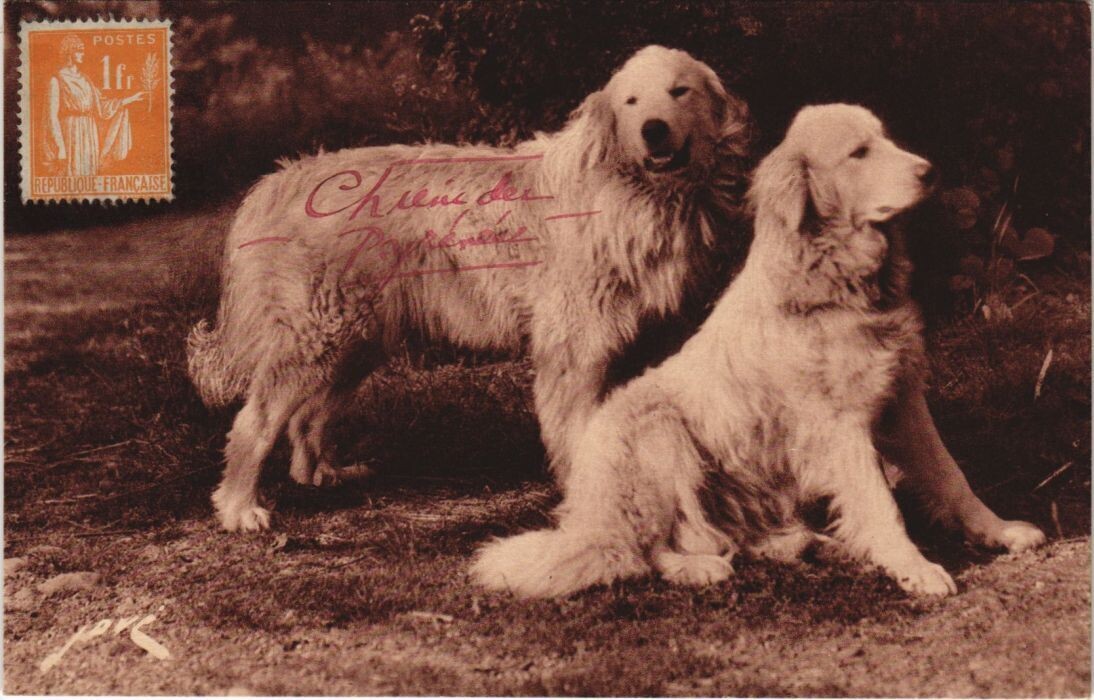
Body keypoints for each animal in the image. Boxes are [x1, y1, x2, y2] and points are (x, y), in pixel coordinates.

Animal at [187, 45, 752, 531]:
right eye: (631, 101)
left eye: (679, 91)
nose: (653, 131)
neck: (633, 190)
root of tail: (278, 180)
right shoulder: (575, 350)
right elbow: (579, 433)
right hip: (321, 336)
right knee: (255, 421)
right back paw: (239, 508)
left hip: (356, 340)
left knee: (308, 415)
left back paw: (322, 473)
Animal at [471, 104, 1045, 598]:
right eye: (859, 152)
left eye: (885, 139)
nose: (930, 172)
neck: (839, 281)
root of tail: (588, 516)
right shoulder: (839, 424)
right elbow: (880, 502)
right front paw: (913, 566)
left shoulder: (903, 400)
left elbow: (952, 475)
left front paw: (999, 530)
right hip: (658, 432)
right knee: (643, 549)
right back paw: (698, 567)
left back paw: (809, 544)